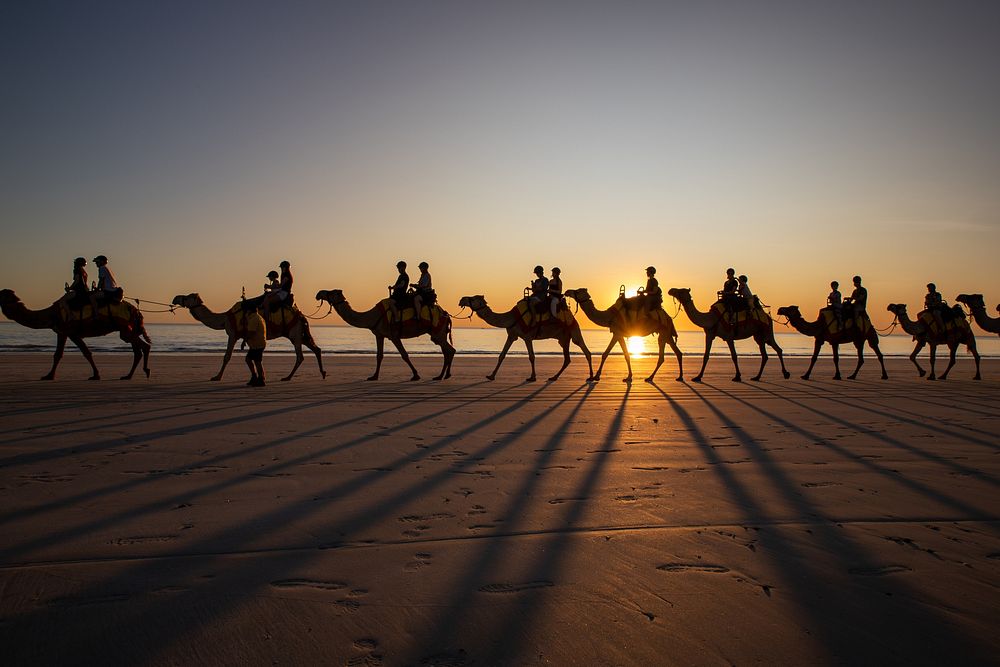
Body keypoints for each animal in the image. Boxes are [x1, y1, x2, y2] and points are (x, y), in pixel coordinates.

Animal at [0, 288, 150, 380]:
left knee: (143, 346)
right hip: (128, 328)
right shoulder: (62, 332)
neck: (52, 314)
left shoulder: (71, 332)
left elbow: (86, 352)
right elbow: (58, 354)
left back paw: (146, 371)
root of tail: (136, 310)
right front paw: (49, 376)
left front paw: (96, 375)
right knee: (137, 351)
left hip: (124, 327)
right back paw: (128, 376)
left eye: (2, 293)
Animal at [171, 292, 324, 380]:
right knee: (316, 349)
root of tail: (301, 315)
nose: (175, 298)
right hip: (299, 334)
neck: (225, 318)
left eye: (186, 297)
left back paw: (288, 377)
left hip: (295, 333)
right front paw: (258, 376)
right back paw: (322, 373)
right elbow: (253, 356)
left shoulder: (233, 334)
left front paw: (217, 377)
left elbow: (227, 356)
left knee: (300, 356)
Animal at [316, 288, 454, 380]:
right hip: (438, 333)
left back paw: (444, 375)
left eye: (331, 292)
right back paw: (442, 375)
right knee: (446, 351)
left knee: (449, 350)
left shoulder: (394, 335)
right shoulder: (379, 334)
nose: (318, 294)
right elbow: (379, 355)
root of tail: (446, 314)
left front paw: (416, 375)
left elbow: (404, 355)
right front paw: (374, 376)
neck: (373, 316)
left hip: (438, 331)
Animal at [460, 296, 592, 384]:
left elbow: (531, 356)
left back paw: (591, 377)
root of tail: (572, 316)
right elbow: (502, 355)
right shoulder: (512, 335)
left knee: (585, 350)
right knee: (567, 359)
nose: (462, 299)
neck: (512, 317)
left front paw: (532, 377)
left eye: (473, 298)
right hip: (563, 338)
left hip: (573, 329)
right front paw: (491, 375)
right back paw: (554, 377)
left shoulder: (527, 337)